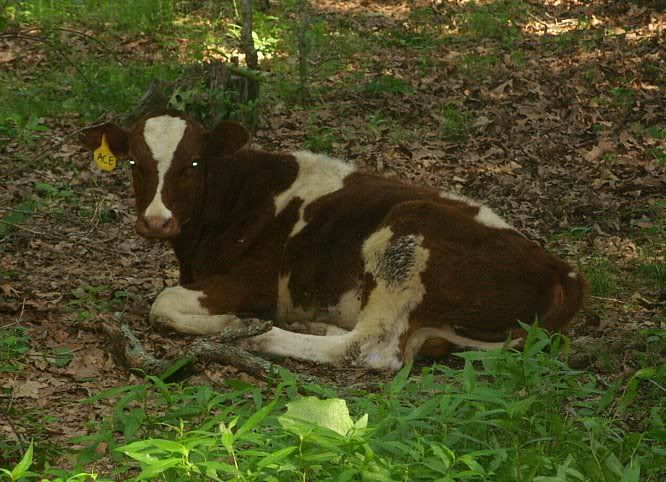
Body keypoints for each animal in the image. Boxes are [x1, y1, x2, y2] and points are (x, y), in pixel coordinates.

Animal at [80, 112, 587, 371]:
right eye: (134, 164)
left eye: (193, 164)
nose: (156, 221)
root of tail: (560, 267)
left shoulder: (254, 284)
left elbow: (162, 303)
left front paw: (234, 324)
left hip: (405, 237)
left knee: (370, 349)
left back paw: (263, 337)